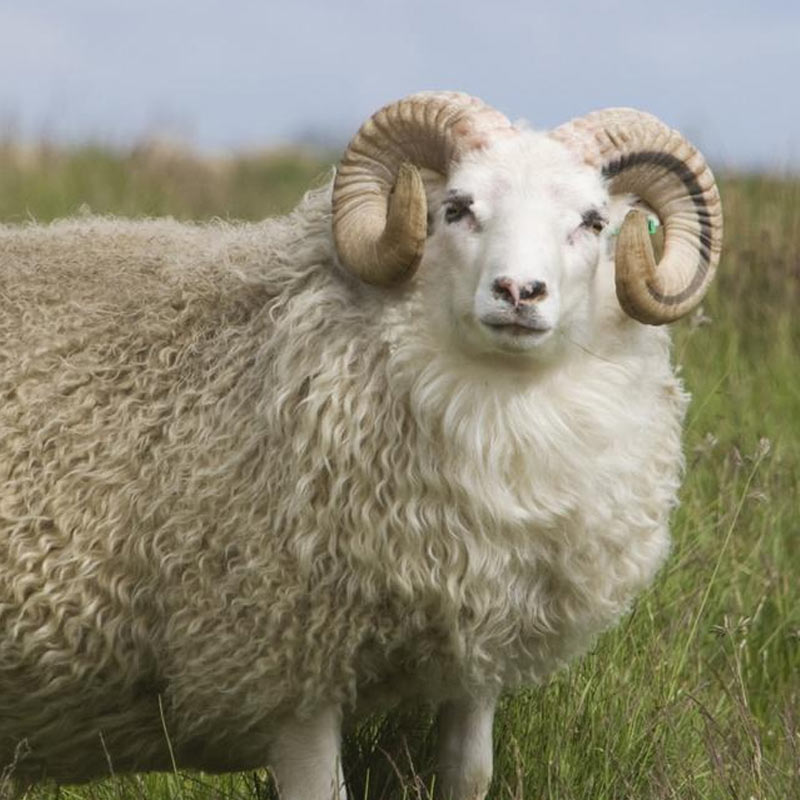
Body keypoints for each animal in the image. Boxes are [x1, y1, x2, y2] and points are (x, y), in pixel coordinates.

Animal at [0, 91, 722, 799]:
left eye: (593, 223)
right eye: (456, 208)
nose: (519, 292)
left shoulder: (478, 647)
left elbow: (471, 775)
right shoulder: (286, 662)